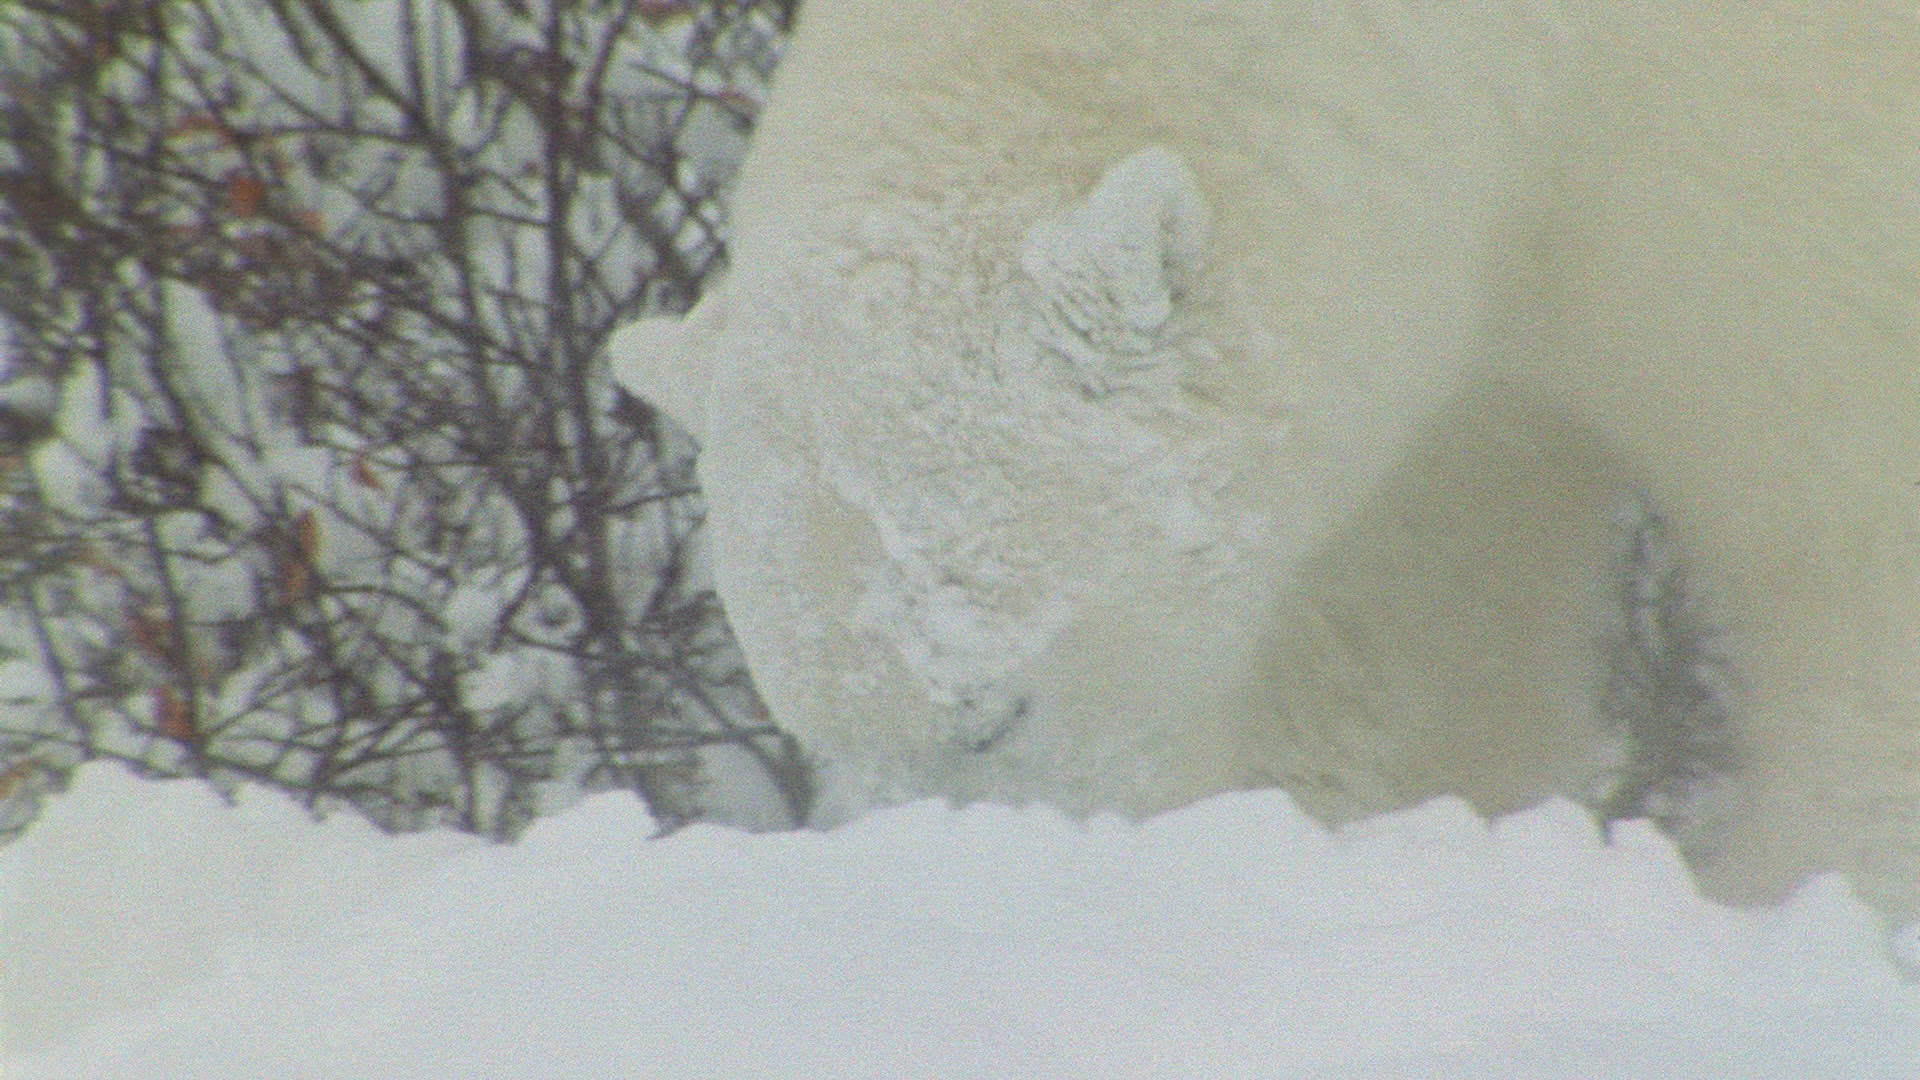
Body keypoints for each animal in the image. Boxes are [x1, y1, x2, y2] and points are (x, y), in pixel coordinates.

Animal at [612, 0, 1920, 926]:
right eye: (811, 720)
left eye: (991, 714)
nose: (950, 882)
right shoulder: (1450, 328)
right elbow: (1408, 619)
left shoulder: (1769, 149)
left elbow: (1854, 528)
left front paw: (1806, 895)